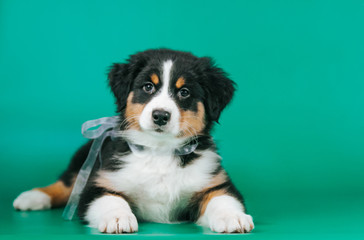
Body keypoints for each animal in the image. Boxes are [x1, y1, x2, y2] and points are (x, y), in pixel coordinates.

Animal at [12, 47, 255, 233]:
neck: (159, 151)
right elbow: (111, 199)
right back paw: (32, 197)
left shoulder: (215, 182)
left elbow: (222, 199)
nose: (160, 115)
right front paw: (117, 218)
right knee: (65, 183)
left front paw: (233, 217)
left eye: (184, 92)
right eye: (148, 87)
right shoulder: (99, 183)